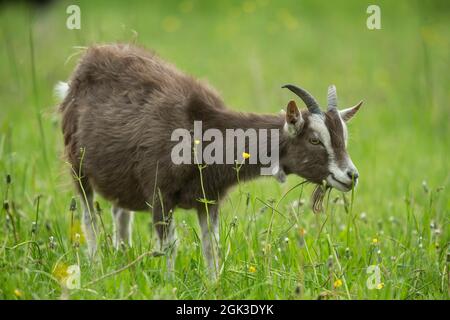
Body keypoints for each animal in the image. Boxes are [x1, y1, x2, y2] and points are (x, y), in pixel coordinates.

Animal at [57, 43, 362, 276]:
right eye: (314, 140)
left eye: (344, 138)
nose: (351, 175)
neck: (202, 132)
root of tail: (86, 59)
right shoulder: (159, 194)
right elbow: (169, 245)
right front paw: (169, 284)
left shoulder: (209, 199)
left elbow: (211, 245)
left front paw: (213, 283)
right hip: (77, 166)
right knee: (88, 216)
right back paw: (96, 265)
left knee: (120, 214)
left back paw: (122, 257)